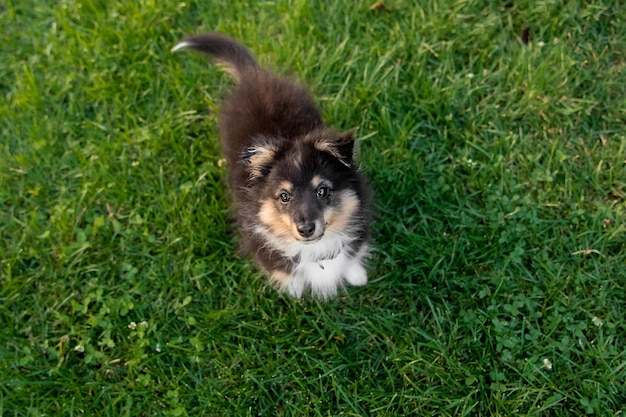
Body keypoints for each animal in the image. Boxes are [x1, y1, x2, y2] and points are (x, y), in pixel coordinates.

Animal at [172, 33, 370, 300]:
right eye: (284, 196)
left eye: (323, 191)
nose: (305, 229)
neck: (315, 249)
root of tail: (253, 74)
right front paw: (294, 289)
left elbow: (352, 253)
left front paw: (357, 275)